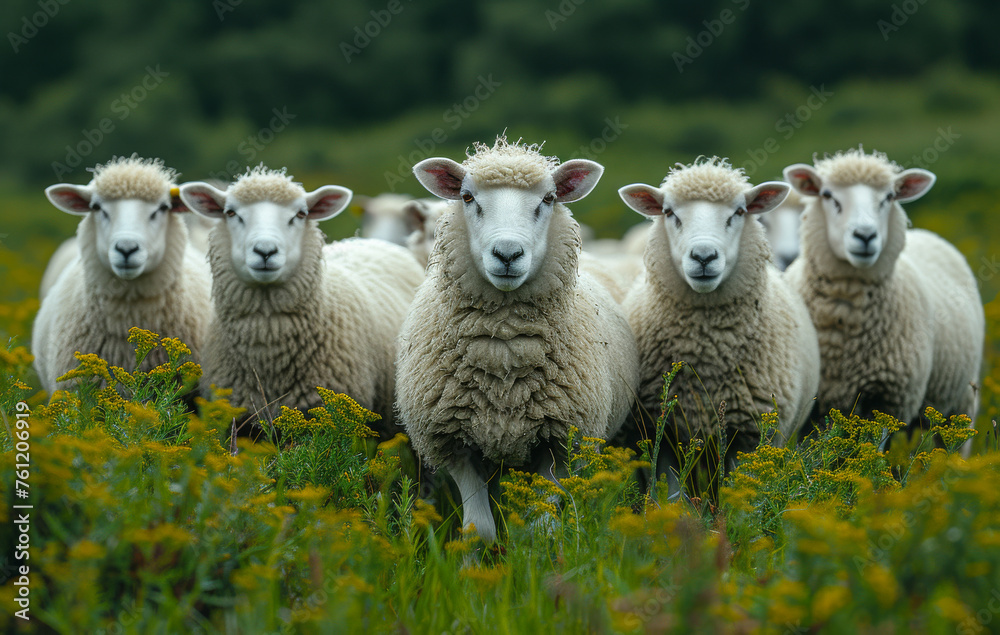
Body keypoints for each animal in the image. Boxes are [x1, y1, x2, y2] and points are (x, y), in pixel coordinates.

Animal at [396, 136, 640, 542]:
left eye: (548, 199)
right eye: (467, 197)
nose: (507, 254)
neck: (504, 348)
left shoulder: (562, 442)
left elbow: (541, 526)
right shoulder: (454, 442)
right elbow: (479, 529)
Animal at [618, 157, 820, 483]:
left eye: (739, 212)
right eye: (669, 212)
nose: (703, 256)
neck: (707, 353)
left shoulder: (751, 435)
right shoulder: (663, 432)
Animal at [783, 147, 984, 435]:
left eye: (889, 197)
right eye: (828, 195)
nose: (865, 235)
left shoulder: (889, 401)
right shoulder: (814, 407)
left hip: (960, 406)